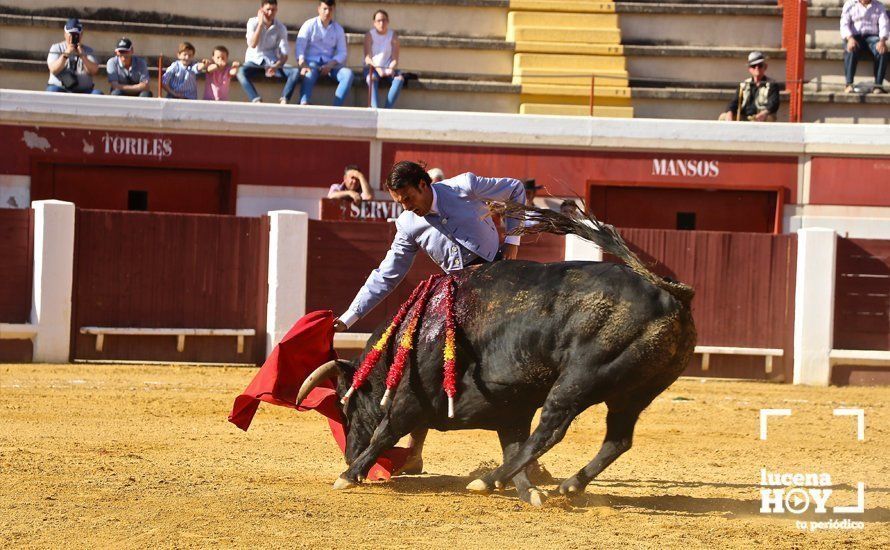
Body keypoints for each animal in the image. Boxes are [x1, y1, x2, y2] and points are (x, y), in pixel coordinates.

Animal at [296, 215, 692, 504]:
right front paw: (529, 491)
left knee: (552, 429)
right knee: (617, 440)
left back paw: (489, 481)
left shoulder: (410, 399)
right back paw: (567, 485)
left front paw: (348, 476)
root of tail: (672, 295)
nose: (349, 455)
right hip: (633, 392)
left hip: (579, 380)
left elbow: (385, 432)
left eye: (345, 406)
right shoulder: (510, 409)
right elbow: (513, 445)